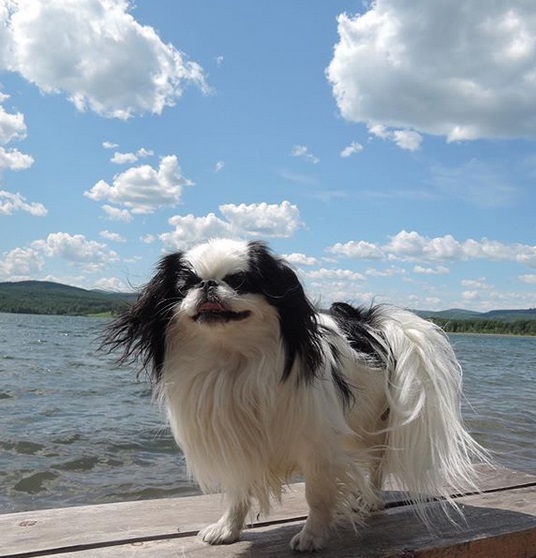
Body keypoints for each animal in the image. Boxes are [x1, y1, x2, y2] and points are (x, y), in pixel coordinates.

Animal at [102, 238, 488, 552]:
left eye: (239, 281)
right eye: (186, 285)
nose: (209, 285)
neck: (234, 361)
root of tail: (370, 325)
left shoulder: (316, 442)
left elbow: (316, 493)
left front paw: (312, 536)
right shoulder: (237, 441)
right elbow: (238, 491)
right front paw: (227, 530)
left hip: (372, 424)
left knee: (376, 464)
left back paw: (371, 501)